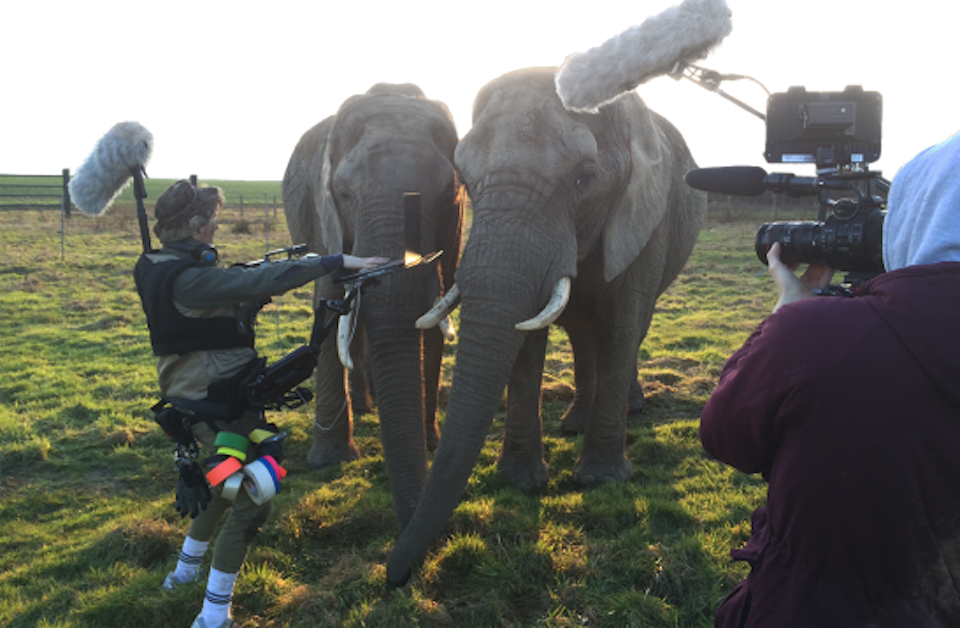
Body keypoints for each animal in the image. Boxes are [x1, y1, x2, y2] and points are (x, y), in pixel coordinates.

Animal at [282, 81, 463, 534]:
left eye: (446, 195)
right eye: (345, 195)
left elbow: (430, 318)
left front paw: (429, 443)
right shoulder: (324, 217)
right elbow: (331, 301)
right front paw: (329, 461)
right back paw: (365, 406)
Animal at [386, 66, 706, 585]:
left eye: (584, 178)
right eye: (465, 180)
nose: (394, 575)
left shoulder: (645, 218)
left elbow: (621, 328)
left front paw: (598, 479)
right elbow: (526, 335)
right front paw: (520, 482)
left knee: (629, 330)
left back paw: (627, 409)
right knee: (580, 333)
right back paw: (573, 422)